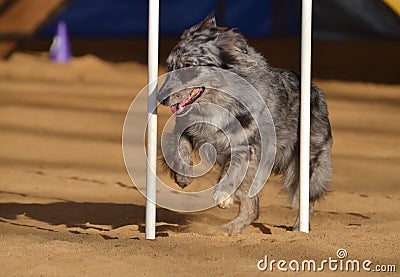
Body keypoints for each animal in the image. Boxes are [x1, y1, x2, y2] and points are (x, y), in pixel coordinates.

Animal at [158, 12, 332, 233]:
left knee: (306, 198)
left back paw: (299, 228)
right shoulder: (190, 129)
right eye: (169, 65)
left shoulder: (247, 146)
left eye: (189, 65)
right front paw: (183, 176)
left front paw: (223, 194)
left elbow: (233, 169)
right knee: (252, 210)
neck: (217, 105)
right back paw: (226, 230)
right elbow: (180, 144)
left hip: (308, 163)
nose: (160, 98)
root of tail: (316, 90)